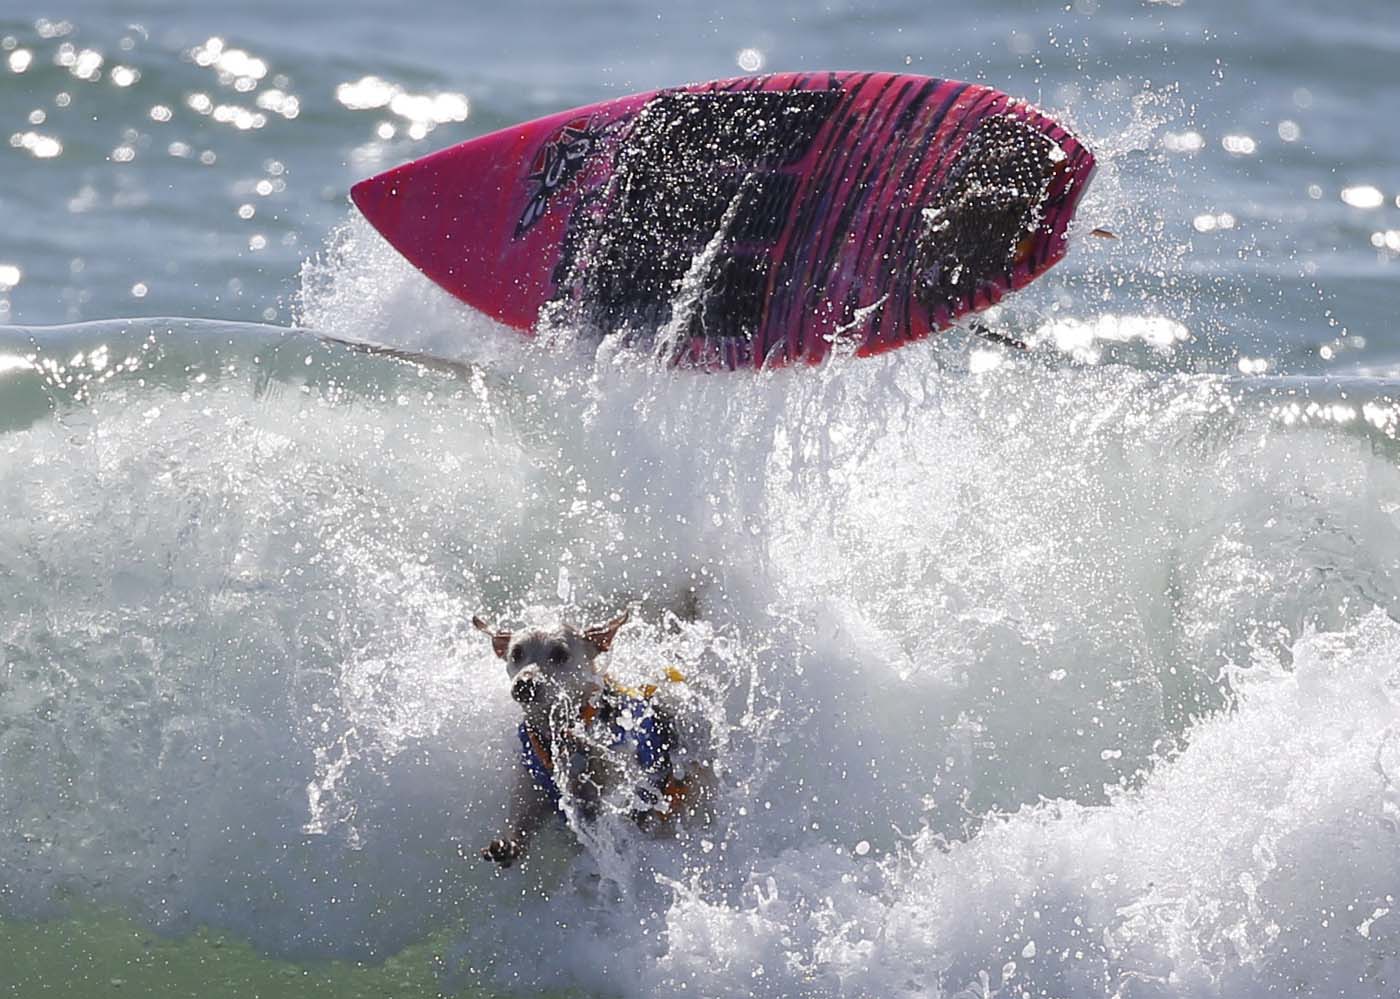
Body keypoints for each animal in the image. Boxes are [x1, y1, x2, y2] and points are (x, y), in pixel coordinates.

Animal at [473, 607, 711, 861]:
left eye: (560, 654)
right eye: (516, 653)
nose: (525, 684)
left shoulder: (625, 775)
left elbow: (613, 768)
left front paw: (581, 741)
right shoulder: (531, 786)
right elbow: (523, 819)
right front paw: (507, 845)